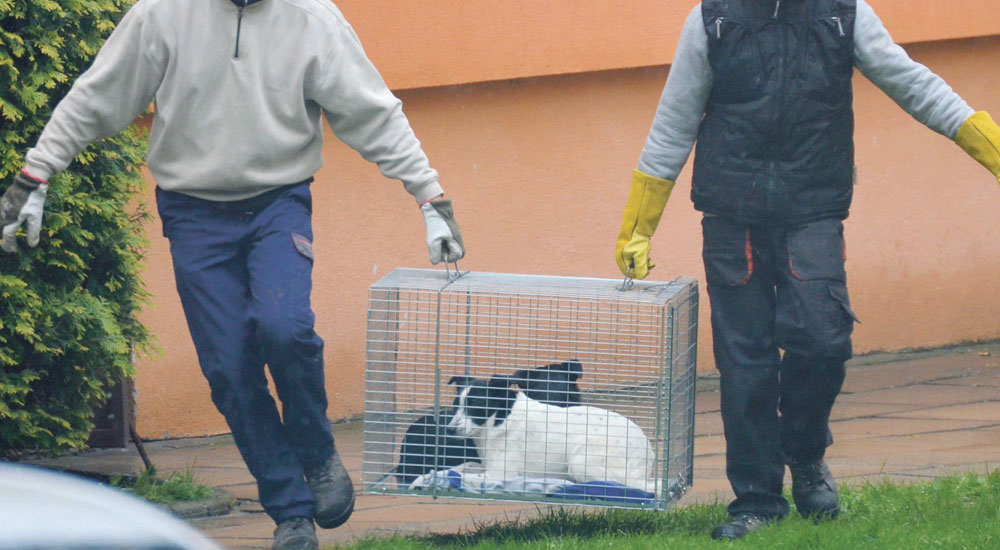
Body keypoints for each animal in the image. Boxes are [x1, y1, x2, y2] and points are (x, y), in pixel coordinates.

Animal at [446, 374, 656, 494]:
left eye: (475, 405)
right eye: (456, 405)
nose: (449, 429)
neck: (499, 418)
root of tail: (648, 455)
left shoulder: (498, 474)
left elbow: (465, 476)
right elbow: (462, 467)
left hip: (580, 460)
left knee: (614, 484)